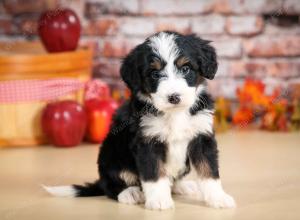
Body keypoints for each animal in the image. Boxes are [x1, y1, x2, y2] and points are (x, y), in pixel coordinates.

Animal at [45, 31, 237, 211]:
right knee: (111, 185)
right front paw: (159, 201)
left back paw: (182, 186)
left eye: (185, 69)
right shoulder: (147, 141)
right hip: (110, 155)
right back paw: (130, 193)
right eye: (155, 74)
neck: (175, 114)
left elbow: (209, 171)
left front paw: (218, 198)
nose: (174, 97)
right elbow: (153, 173)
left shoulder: (202, 136)